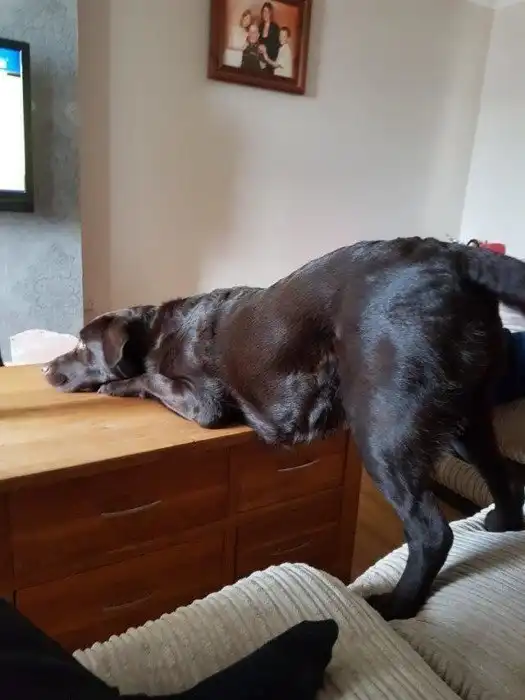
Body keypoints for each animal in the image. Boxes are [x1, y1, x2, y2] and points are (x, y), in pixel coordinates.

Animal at [44, 237, 525, 621]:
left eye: (81, 345)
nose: (46, 368)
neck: (156, 332)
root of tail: (453, 254)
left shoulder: (202, 402)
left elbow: (149, 378)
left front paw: (115, 384)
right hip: (467, 421)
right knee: (500, 473)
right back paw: (501, 523)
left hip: (385, 431)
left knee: (430, 532)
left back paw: (397, 605)